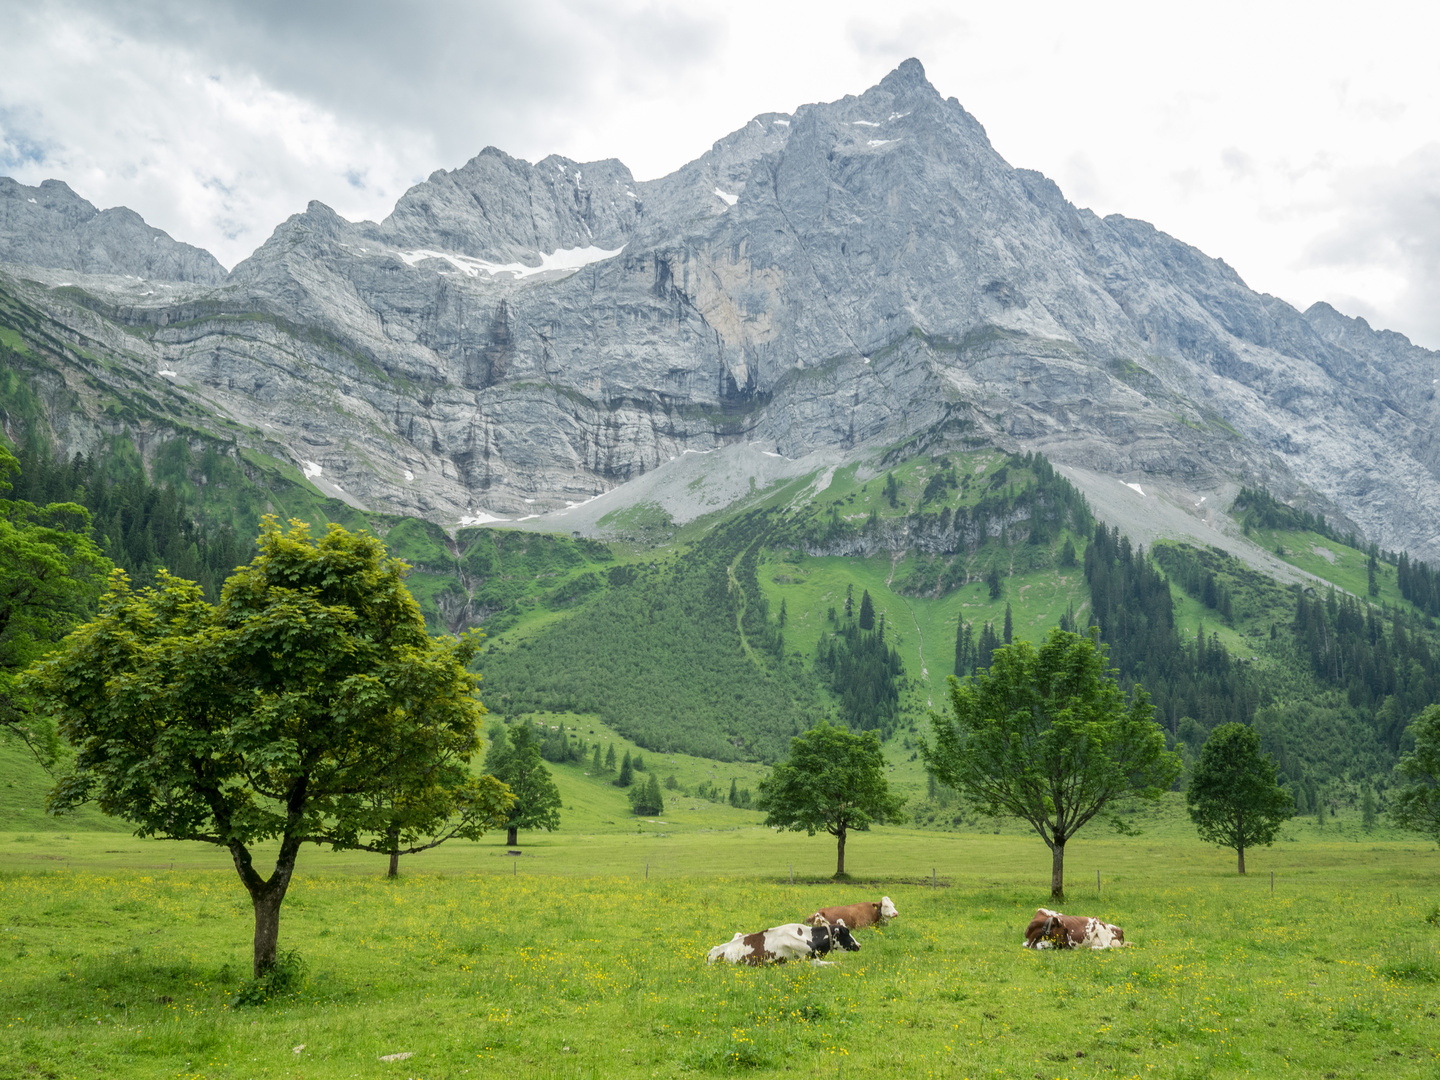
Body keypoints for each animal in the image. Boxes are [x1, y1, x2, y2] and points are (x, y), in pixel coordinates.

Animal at [705, 927, 858, 967]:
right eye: (846, 932)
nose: (859, 945)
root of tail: (711, 953)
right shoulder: (810, 960)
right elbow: (835, 963)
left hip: (738, 933)